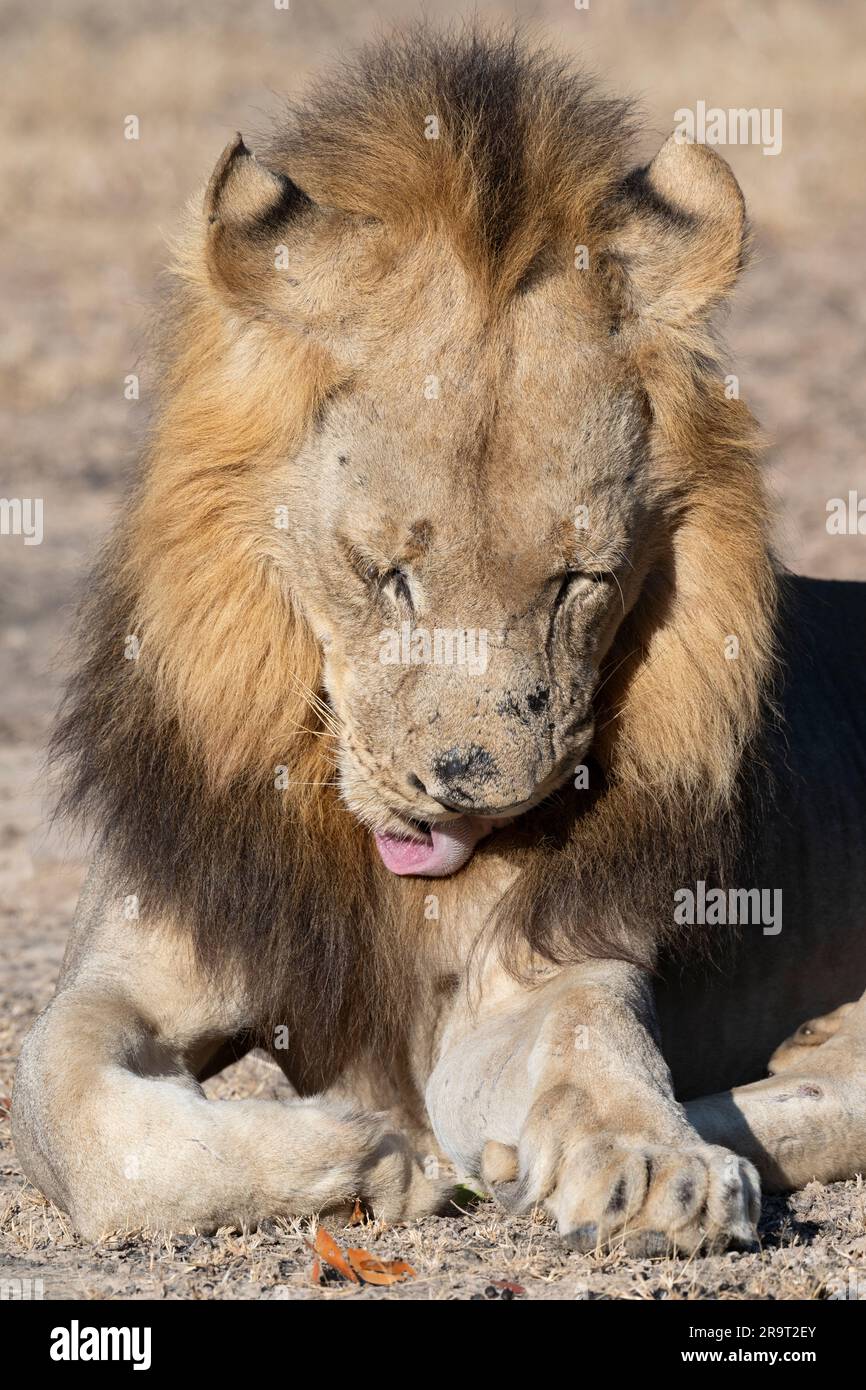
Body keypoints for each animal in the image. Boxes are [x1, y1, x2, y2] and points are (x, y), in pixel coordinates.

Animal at [13, 28, 866, 1253]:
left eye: (577, 583)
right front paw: (364, 1157)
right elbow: (83, 1117)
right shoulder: (124, 965)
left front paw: (651, 1164)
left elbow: (592, 1036)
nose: (472, 793)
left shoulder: (532, 968)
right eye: (387, 576)